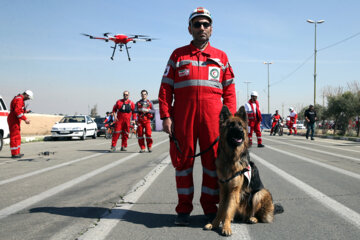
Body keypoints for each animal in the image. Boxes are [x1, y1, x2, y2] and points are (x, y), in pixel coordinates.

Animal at [204, 105, 282, 236]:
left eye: (240, 125)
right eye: (231, 125)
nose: (241, 132)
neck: (230, 158)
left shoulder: (234, 191)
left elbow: (228, 209)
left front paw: (226, 227)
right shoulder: (224, 189)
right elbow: (221, 209)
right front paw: (215, 223)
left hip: (260, 193)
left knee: (258, 215)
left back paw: (253, 218)